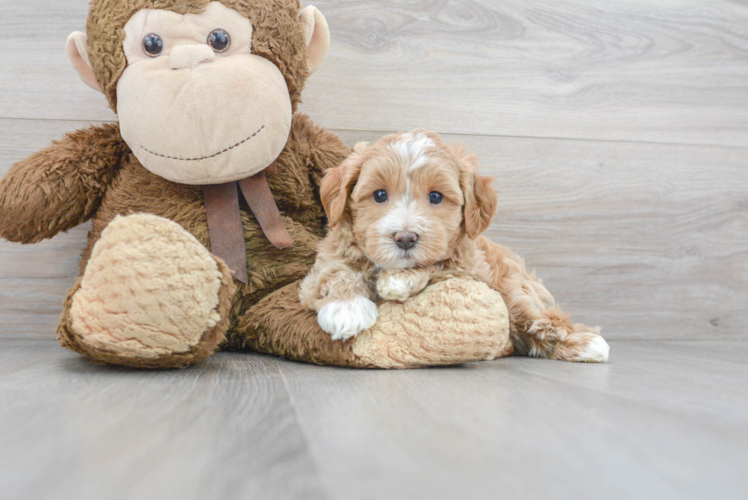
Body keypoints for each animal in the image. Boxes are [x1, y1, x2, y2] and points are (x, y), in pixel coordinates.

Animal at [300, 130, 612, 364]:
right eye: (379, 195)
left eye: (436, 197)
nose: (405, 237)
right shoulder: (320, 269)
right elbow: (335, 272)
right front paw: (346, 307)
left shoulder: (472, 271)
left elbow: (439, 264)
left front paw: (399, 280)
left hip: (514, 286)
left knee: (540, 317)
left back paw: (586, 343)